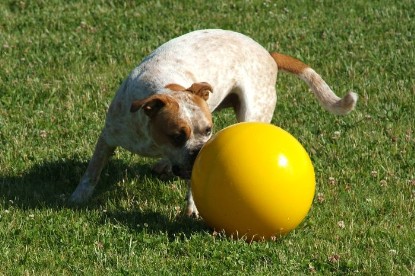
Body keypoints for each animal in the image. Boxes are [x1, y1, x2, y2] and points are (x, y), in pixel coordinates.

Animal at [69, 29, 358, 217]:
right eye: (177, 135)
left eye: (208, 131)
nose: (199, 152)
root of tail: (269, 55)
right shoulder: (110, 135)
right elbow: (92, 171)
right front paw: (78, 197)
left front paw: (192, 208)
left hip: (252, 112)